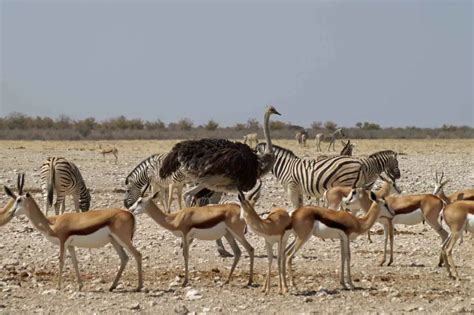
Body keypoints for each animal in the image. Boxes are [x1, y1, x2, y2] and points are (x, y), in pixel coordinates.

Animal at [4, 174, 143, 292]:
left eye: (19, 200)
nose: (10, 212)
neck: (52, 223)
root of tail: (130, 214)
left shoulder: (62, 241)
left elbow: (61, 261)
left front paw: (58, 286)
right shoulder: (70, 245)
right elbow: (75, 263)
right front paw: (80, 286)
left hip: (123, 239)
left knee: (138, 254)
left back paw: (139, 287)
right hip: (114, 241)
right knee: (124, 258)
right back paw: (112, 286)